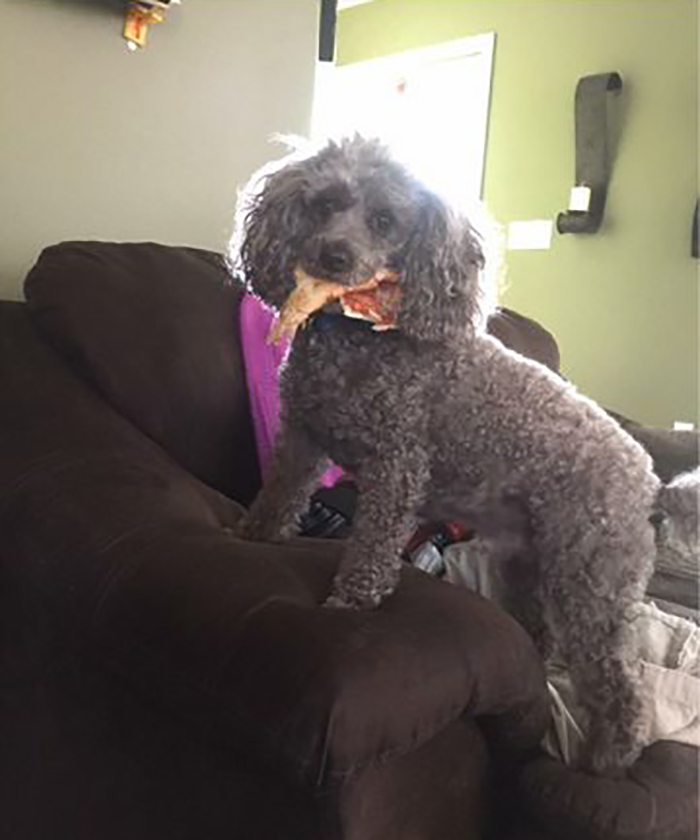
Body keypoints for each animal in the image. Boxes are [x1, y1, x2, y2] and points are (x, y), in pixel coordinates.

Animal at [230, 138, 660, 776]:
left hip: (591, 580)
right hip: (527, 566)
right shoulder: (301, 436)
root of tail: (647, 479)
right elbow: (280, 494)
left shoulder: (395, 467)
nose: (334, 256)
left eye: (386, 221)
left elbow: (371, 550)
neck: (362, 336)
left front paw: (348, 606)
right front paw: (251, 536)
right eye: (326, 202)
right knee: (542, 635)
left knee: (620, 684)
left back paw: (608, 759)